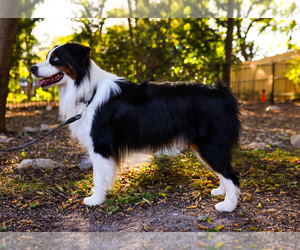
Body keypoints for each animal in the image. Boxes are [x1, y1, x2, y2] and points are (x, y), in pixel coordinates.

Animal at [31, 42, 241, 211]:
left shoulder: (100, 145)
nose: (32, 68)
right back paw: (221, 192)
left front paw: (96, 199)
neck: (88, 89)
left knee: (231, 174)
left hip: (210, 144)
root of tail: (222, 93)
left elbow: (98, 176)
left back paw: (228, 205)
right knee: (223, 171)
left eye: (55, 59)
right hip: (206, 146)